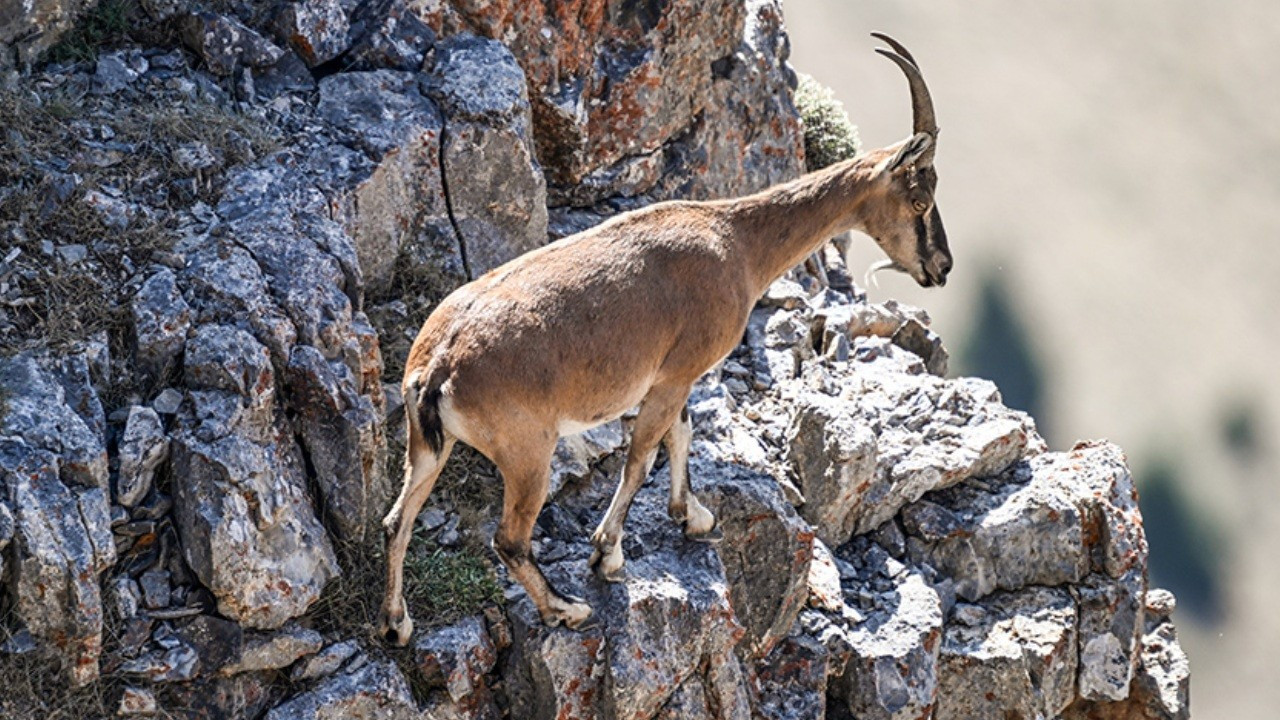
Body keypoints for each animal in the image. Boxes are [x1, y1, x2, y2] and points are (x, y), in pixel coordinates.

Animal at [373, 33, 947, 640]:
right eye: (919, 201)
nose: (941, 266)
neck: (736, 242)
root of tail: (438, 365)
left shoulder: (675, 378)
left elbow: (681, 433)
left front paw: (693, 516)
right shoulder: (675, 375)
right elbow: (643, 455)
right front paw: (608, 554)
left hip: (427, 446)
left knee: (396, 520)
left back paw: (396, 623)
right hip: (527, 451)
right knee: (509, 539)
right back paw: (565, 608)